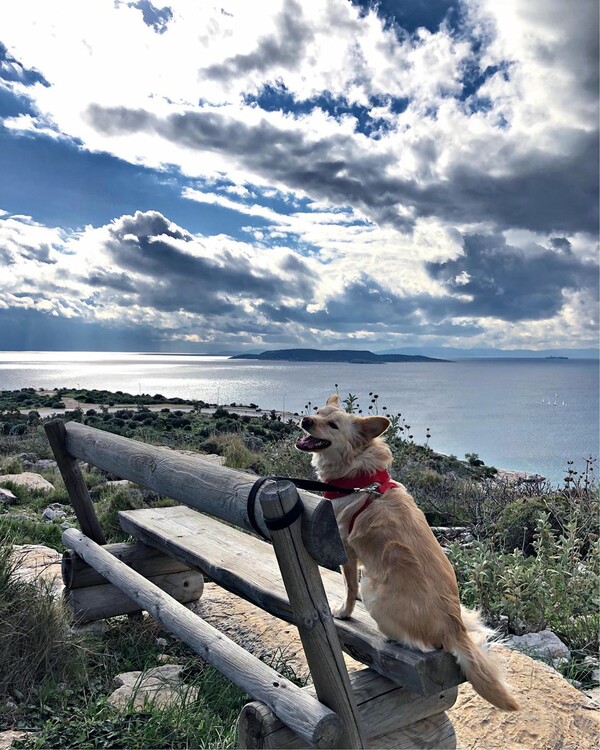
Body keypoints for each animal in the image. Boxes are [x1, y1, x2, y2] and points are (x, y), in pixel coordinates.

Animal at [298, 396, 516, 712]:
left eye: (333, 424)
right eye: (317, 412)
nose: (305, 420)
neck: (359, 474)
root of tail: (454, 628)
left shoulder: (346, 550)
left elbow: (349, 586)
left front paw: (345, 611)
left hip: (375, 589)